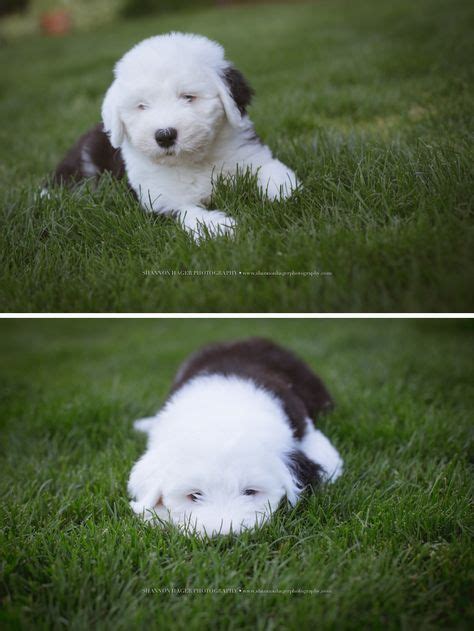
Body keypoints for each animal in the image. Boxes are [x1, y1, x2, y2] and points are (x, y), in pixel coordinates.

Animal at [50, 33, 298, 243]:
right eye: (142, 106)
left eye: (188, 96)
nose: (165, 135)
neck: (193, 161)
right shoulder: (158, 200)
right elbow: (190, 214)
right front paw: (223, 228)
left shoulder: (250, 154)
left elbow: (273, 171)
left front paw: (284, 193)